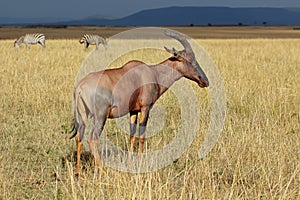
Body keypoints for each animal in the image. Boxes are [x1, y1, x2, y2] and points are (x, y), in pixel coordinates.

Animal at [71, 31, 209, 175]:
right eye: (189, 61)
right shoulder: (145, 107)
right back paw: (103, 170)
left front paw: (130, 163)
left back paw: (77, 172)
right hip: (100, 117)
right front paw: (141, 162)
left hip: (83, 116)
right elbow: (142, 135)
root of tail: (80, 87)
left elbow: (132, 135)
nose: (204, 81)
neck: (152, 72)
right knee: (92, 139)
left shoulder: (133, 110)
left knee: (79, 138)